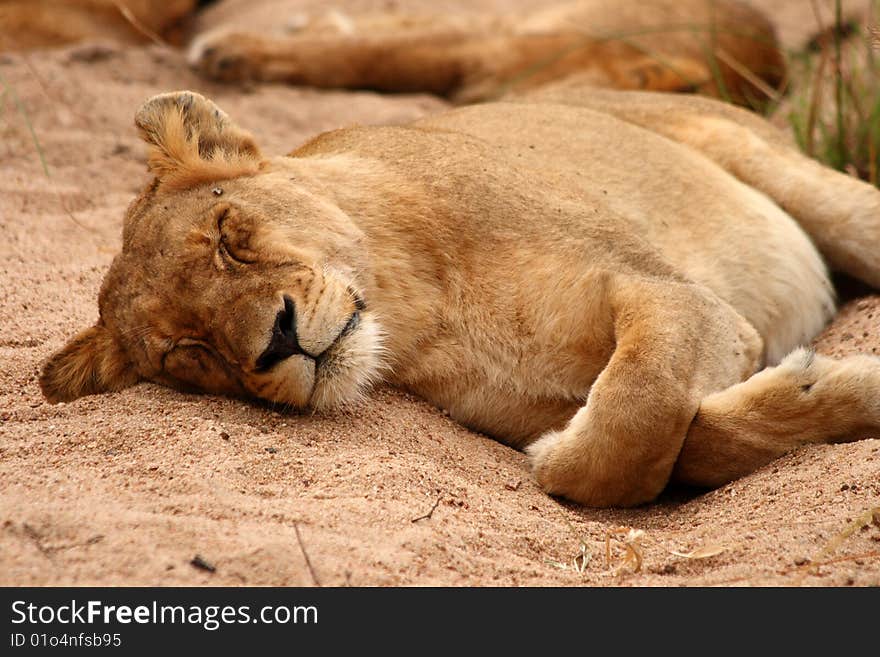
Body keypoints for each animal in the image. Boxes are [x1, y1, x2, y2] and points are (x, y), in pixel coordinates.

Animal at [37, 87, 880, 508]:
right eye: (189, 353)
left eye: (226, 235)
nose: (277, 340)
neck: (425, 312)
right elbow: (666, 435)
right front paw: (825, 387)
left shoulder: (667, 288)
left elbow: (640, 401)